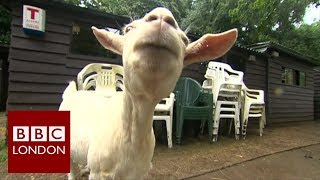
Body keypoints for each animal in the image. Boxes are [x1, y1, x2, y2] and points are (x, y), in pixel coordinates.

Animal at [59, 6, 238, 179]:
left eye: (185, 40)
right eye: (128, 29)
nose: (162, 16)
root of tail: (72, 92)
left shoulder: (139, 172)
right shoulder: (99, 171)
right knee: (71, 170)